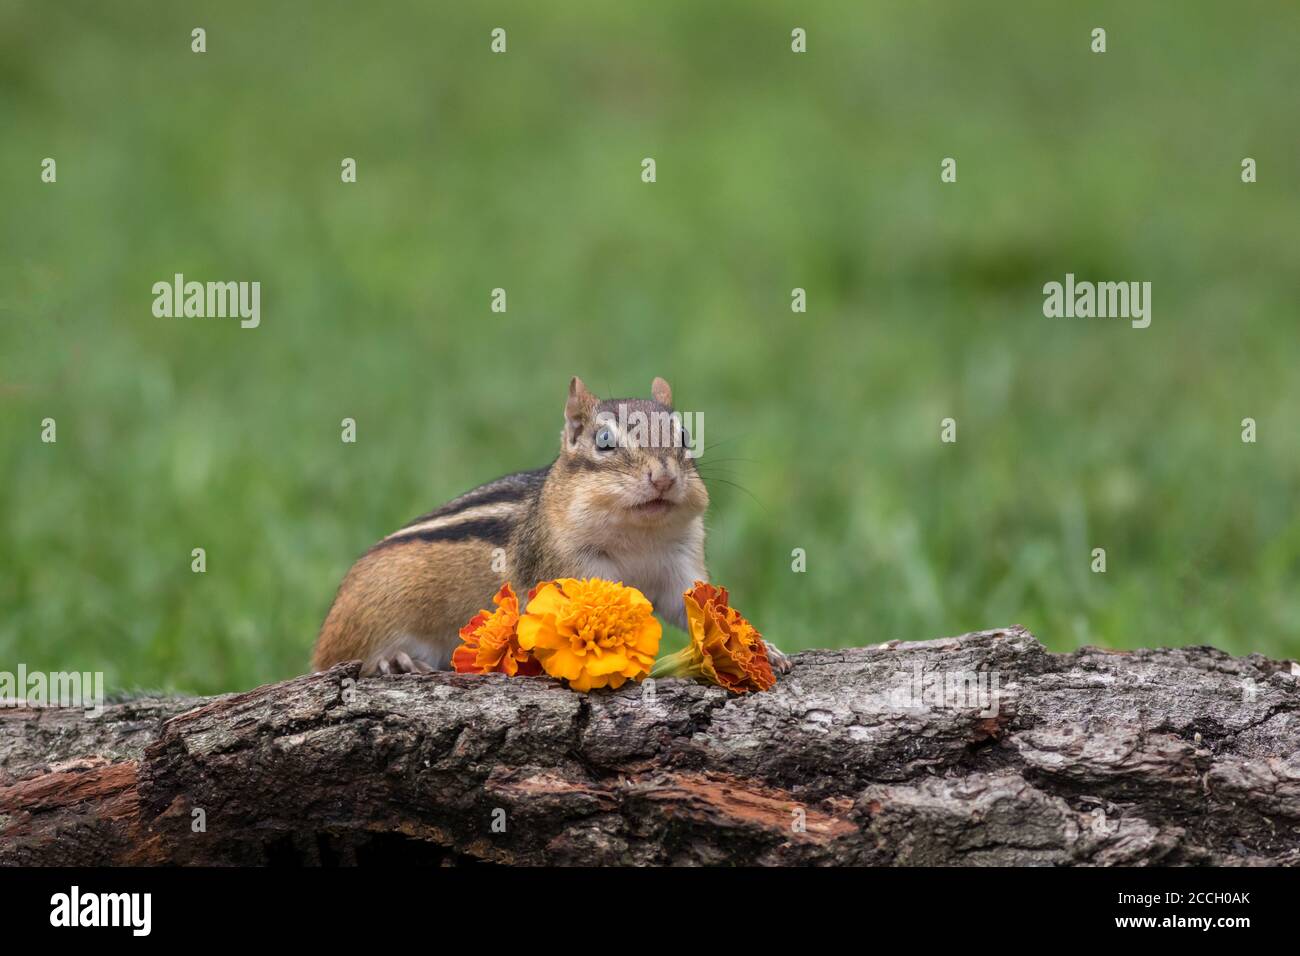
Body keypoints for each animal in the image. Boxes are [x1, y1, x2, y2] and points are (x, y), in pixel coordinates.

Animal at [313, 376, 755, 676]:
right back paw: (394, 660)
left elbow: (693, 606)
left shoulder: (680, 561)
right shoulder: (573, 567)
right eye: (604, 440)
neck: (637, 538)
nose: (663, 478)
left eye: (684, 435)